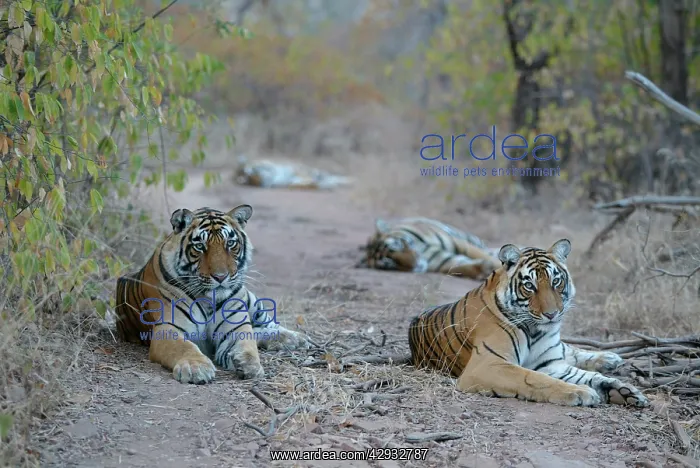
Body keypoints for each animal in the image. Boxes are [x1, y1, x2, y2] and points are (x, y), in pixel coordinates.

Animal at [114, 205, 310, 384]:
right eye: (200, 246)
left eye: (230, 243)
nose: (221, 277)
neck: (208, 299)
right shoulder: (168, 328)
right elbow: (184, 347)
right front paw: (196, 368)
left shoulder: (236, 327)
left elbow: (248, 343)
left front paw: (250, 364)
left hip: (252, 302)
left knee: (267, 323)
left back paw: (296, 338)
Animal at [356, 217, 502, 281]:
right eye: (391, 264)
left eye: (398, 245)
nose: (415, 264)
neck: (423, 252)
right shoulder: (444, 262)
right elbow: (460, 266)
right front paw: (484, 269)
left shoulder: (457, 243)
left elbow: (480, 254)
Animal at [408, 238, 649, 407]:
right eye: (530, 286)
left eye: (556, 281)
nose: (552, 314)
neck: (535, 331)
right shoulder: (487, 365)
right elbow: (534, 378)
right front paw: (581, 392)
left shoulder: (550, 363)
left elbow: (588, 375)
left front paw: (624, 391)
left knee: (571, 351)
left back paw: (609, 358)